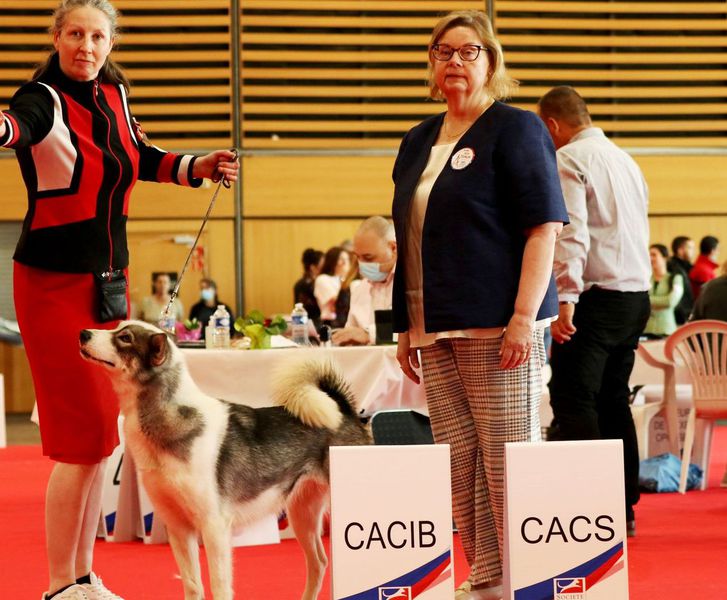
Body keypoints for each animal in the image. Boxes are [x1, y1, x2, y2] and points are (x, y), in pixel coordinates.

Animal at [79, 320, 371, 600]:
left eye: (125, 338)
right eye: (116, 328)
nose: (83, 334)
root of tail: (344, 410)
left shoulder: (214, 527)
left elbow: (218, 586)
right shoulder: (178, 528)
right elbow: (193, 585)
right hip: (303, 513)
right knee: (319, 563)